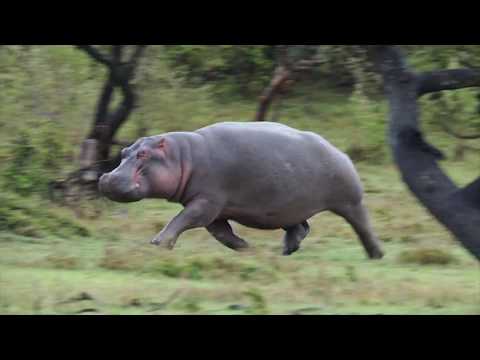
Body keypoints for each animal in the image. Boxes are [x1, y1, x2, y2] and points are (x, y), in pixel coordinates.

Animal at [99, 121, 384, 258]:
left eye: (143, 154)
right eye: (124, 152)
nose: (106, 179)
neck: (182, 156)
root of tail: (340, 151)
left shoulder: (207, 201)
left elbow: (183, 219)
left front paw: (157, 244)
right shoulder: (215, 210)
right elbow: (222, 234)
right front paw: (248, 249)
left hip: (350, 201)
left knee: (363, 225)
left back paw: (376, 255)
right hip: (289, 207)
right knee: (300, 228)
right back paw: (286, 251)